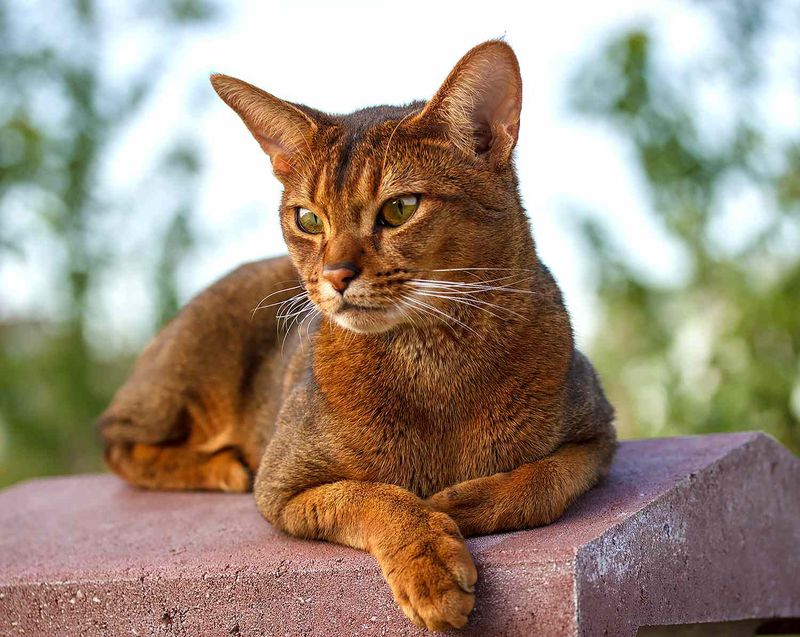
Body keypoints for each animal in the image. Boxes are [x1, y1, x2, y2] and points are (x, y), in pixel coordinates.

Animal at [97, 41, 616, 632]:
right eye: (307, 218)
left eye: (400, 208)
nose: (335, 275)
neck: (433, 361)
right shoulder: (283, 484)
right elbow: (372, 496)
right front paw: (430, 560)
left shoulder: (599, 433)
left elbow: (543, 481)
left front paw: (460, 504)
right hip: (187, 380)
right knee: (114, 439)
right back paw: (222, 466)